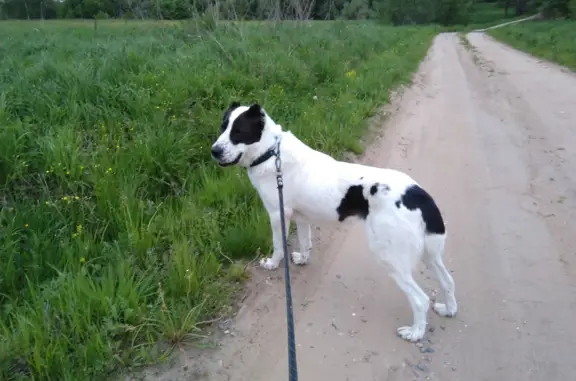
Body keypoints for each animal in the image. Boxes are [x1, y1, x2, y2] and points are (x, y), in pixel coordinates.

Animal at [209, 101, 456, 342]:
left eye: (238, 132)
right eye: (223, 127)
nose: (214, 151)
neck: (270, 152)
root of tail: (421, 196)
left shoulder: (277, 214)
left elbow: (278, 246)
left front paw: (271, 264)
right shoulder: (300, 217)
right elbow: (305, 243)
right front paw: (302, 259)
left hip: (390, 256)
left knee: (420, 299)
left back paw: (415, 333)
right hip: (430, 254)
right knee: (448, 281)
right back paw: (448, 309)